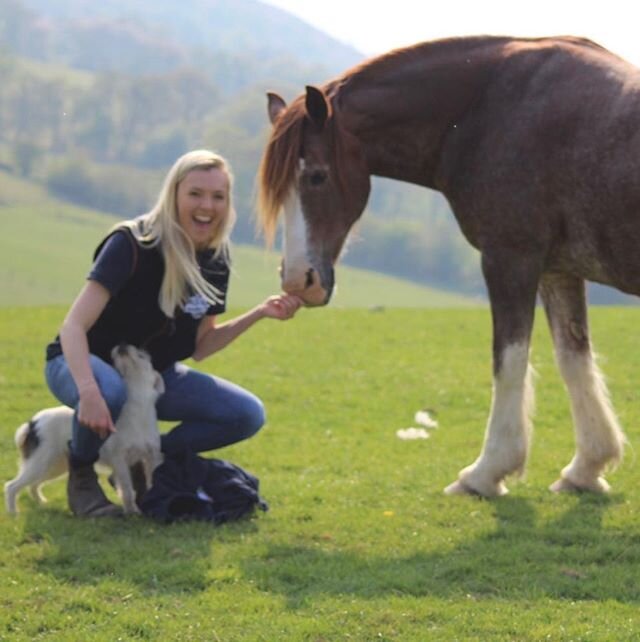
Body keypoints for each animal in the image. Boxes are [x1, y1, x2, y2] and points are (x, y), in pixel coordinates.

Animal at [4, 344, 164, 516]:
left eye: (142, 356)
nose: (122, 346)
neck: (136, 406)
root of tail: (32, 423)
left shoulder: (152, 456)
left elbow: (153, 481)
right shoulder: (119, 459)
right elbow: (127, 490)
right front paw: (131, 512)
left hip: (54, 465)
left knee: (34, 484)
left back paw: (41, 503)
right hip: (41, 461)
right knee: (12, 486)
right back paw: (13, 513)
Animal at [256, 33, 632, 496]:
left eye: (317, 176)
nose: (297, 280)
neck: (486, 108)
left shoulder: (510, 258)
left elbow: (509, 361)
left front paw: (486, 472)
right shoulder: (558, 269)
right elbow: (574, 358)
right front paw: (586, 467)